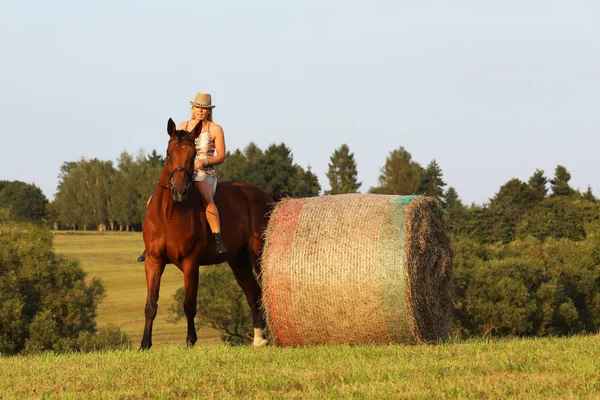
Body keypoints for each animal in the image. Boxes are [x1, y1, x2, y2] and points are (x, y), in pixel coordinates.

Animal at [139, 119, 274, 350]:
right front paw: (145, 344)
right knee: (253, 293)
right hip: (238, 260)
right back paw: (258, 339)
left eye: (193, 155)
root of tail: (264, 195)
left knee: (263, 292)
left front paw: (190, 341)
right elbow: (150, 303)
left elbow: (189, 304)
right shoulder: (153, 261)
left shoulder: (190, 263)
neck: (168, 213)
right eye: (168, 153)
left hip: (258, 256)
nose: (179, 191)